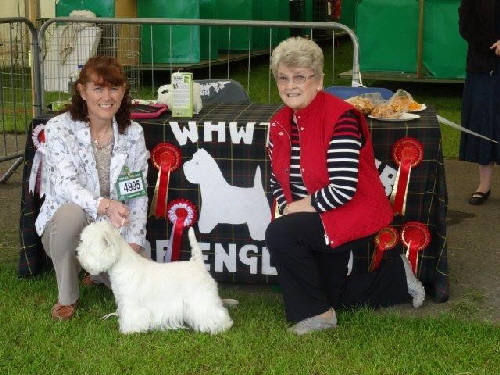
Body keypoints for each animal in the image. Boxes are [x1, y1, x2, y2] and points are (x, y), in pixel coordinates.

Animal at [77, 220, 233, 334]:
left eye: (88, 246)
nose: (75, 253)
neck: (122, 266)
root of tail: (198, 263)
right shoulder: (123, 302)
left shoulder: (131, 303)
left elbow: (133, 317)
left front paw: (129, 330)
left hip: (202, 298)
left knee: (215, 312)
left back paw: (221, 326)